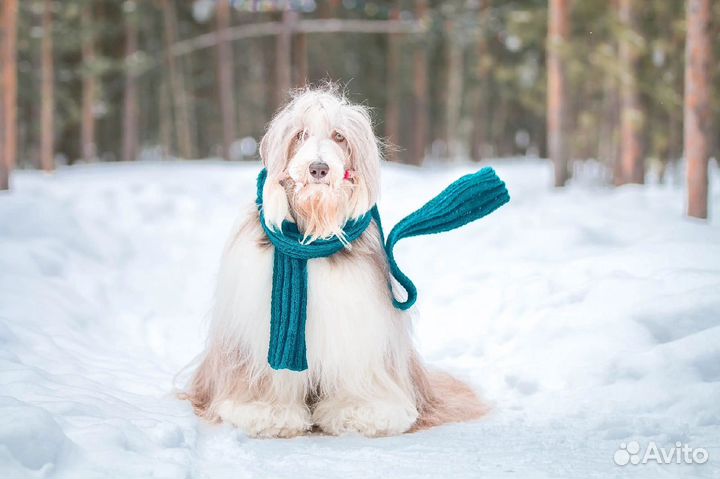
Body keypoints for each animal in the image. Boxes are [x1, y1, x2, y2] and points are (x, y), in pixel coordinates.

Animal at [183, 86, 486, 438]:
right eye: (299, 135)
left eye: (339, 136)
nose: (318, 168)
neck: (313, 233)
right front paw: (267, 412)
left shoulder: (359, 328)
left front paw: (362, 412)